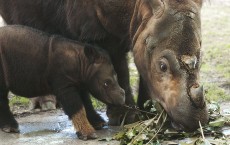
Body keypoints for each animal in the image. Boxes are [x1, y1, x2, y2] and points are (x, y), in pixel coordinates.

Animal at [0, 0, 208, 131]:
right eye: (163, 67)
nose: (195, 122)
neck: (137, 8)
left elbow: (142, 67)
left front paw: (147, 112)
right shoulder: (96, 32)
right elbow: (118, 67)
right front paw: (124, 118)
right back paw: (44, 107)